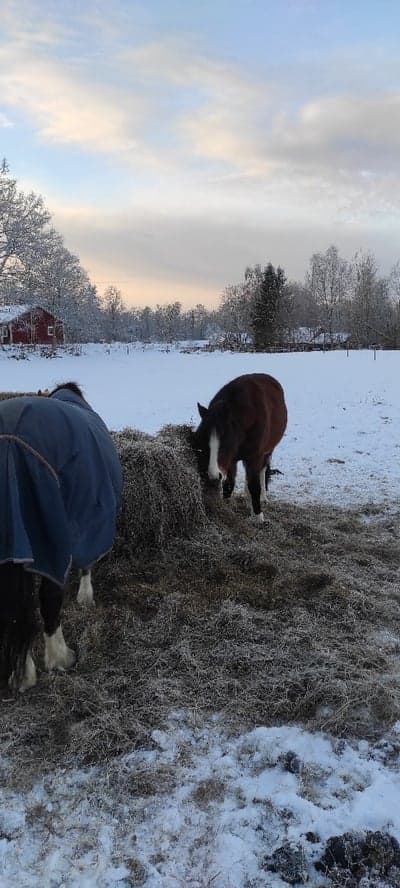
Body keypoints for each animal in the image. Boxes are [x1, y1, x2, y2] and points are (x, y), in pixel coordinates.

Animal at [0, 382, 122, 692]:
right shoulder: (89, 521)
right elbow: (86, 565)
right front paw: (86, 597)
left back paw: (21, 673)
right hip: (50, 538)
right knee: (48, 600)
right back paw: (59, 659)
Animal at [192, 372, 286, 520]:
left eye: (224, 444)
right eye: (205, 444)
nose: (214, 476)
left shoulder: (254, 457)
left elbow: (254, 486)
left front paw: (258, 516)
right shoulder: (231, 460)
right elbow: (229, 485)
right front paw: (226, 507)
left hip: (267, 451)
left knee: (262, 470)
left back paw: (263, 497)